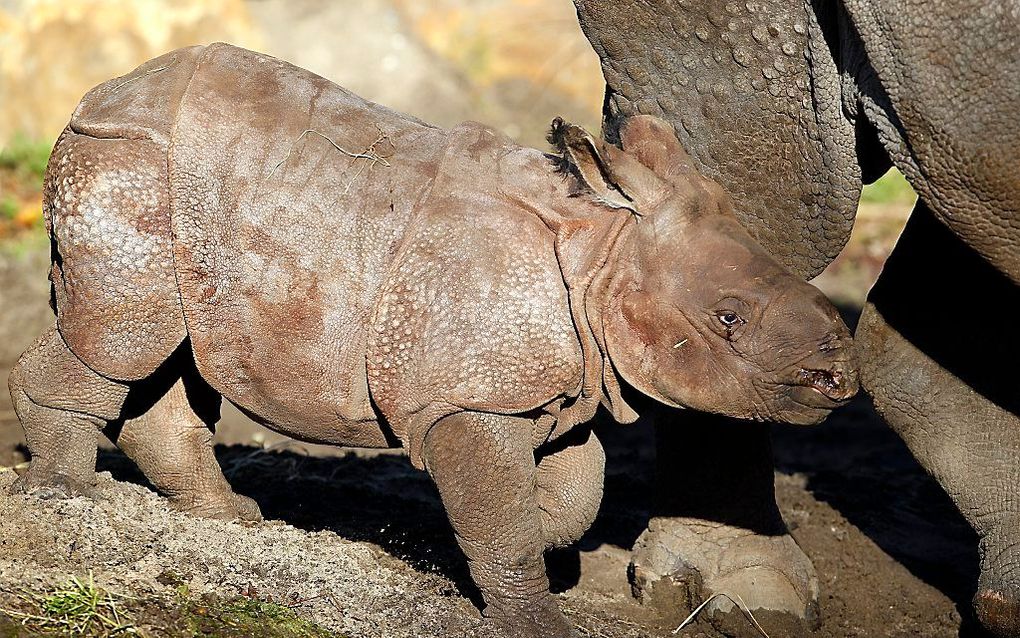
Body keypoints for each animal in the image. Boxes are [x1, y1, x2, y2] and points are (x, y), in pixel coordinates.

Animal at [11, 44, 856, 636]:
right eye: (728, 319)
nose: (839, 380)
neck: (602, 251)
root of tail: (97, 97)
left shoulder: (550, 384)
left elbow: (572, 488)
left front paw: (533, 532)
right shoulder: (471, 396)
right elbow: (502, 511)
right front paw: (535, 621)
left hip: (178, 191)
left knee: (171, 356)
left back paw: (232, 519)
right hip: (131, 165)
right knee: (126, 338)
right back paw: (68, 495)